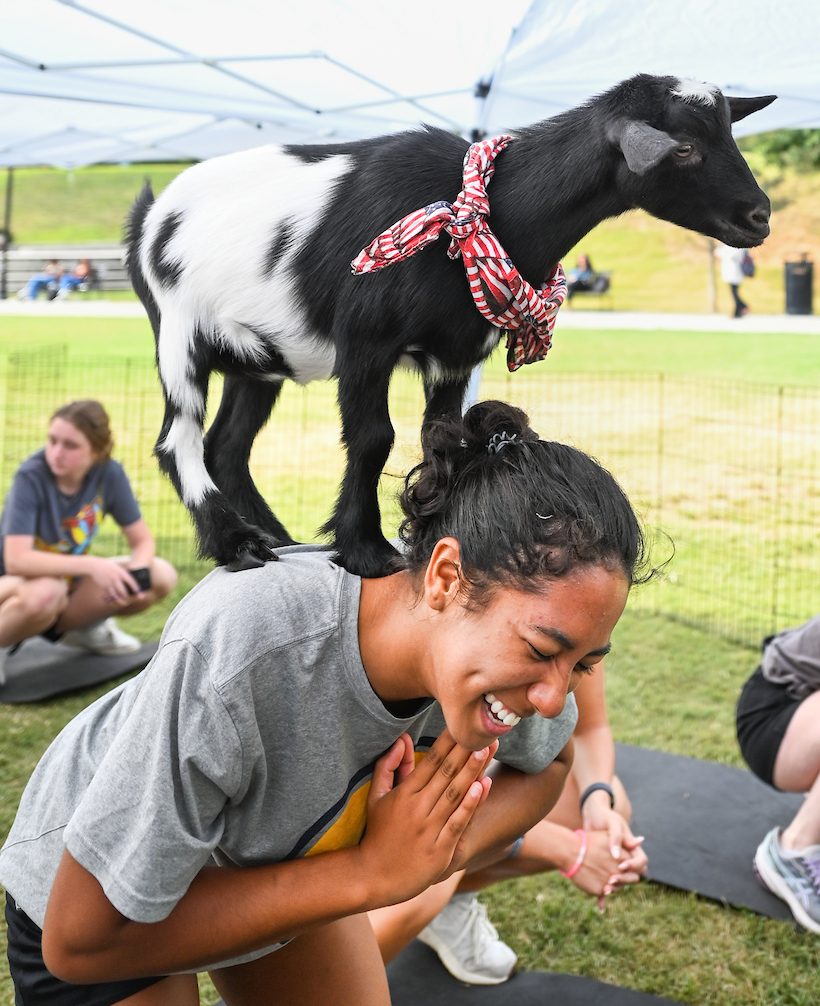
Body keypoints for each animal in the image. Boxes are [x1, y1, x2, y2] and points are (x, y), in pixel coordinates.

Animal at [126, 73, 775, 578]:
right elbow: (373, 437)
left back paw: (275, 537)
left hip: (256, 360)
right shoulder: (365, 342)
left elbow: (442, 438)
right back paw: (233, 542)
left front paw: (433, 535)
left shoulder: (456, 354)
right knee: (178, 439)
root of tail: (149, 215)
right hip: (178, 332)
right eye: (684, 148)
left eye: (727, 132)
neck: (479, 213)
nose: (759, 216)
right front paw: (364, 549)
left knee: (227, 445)